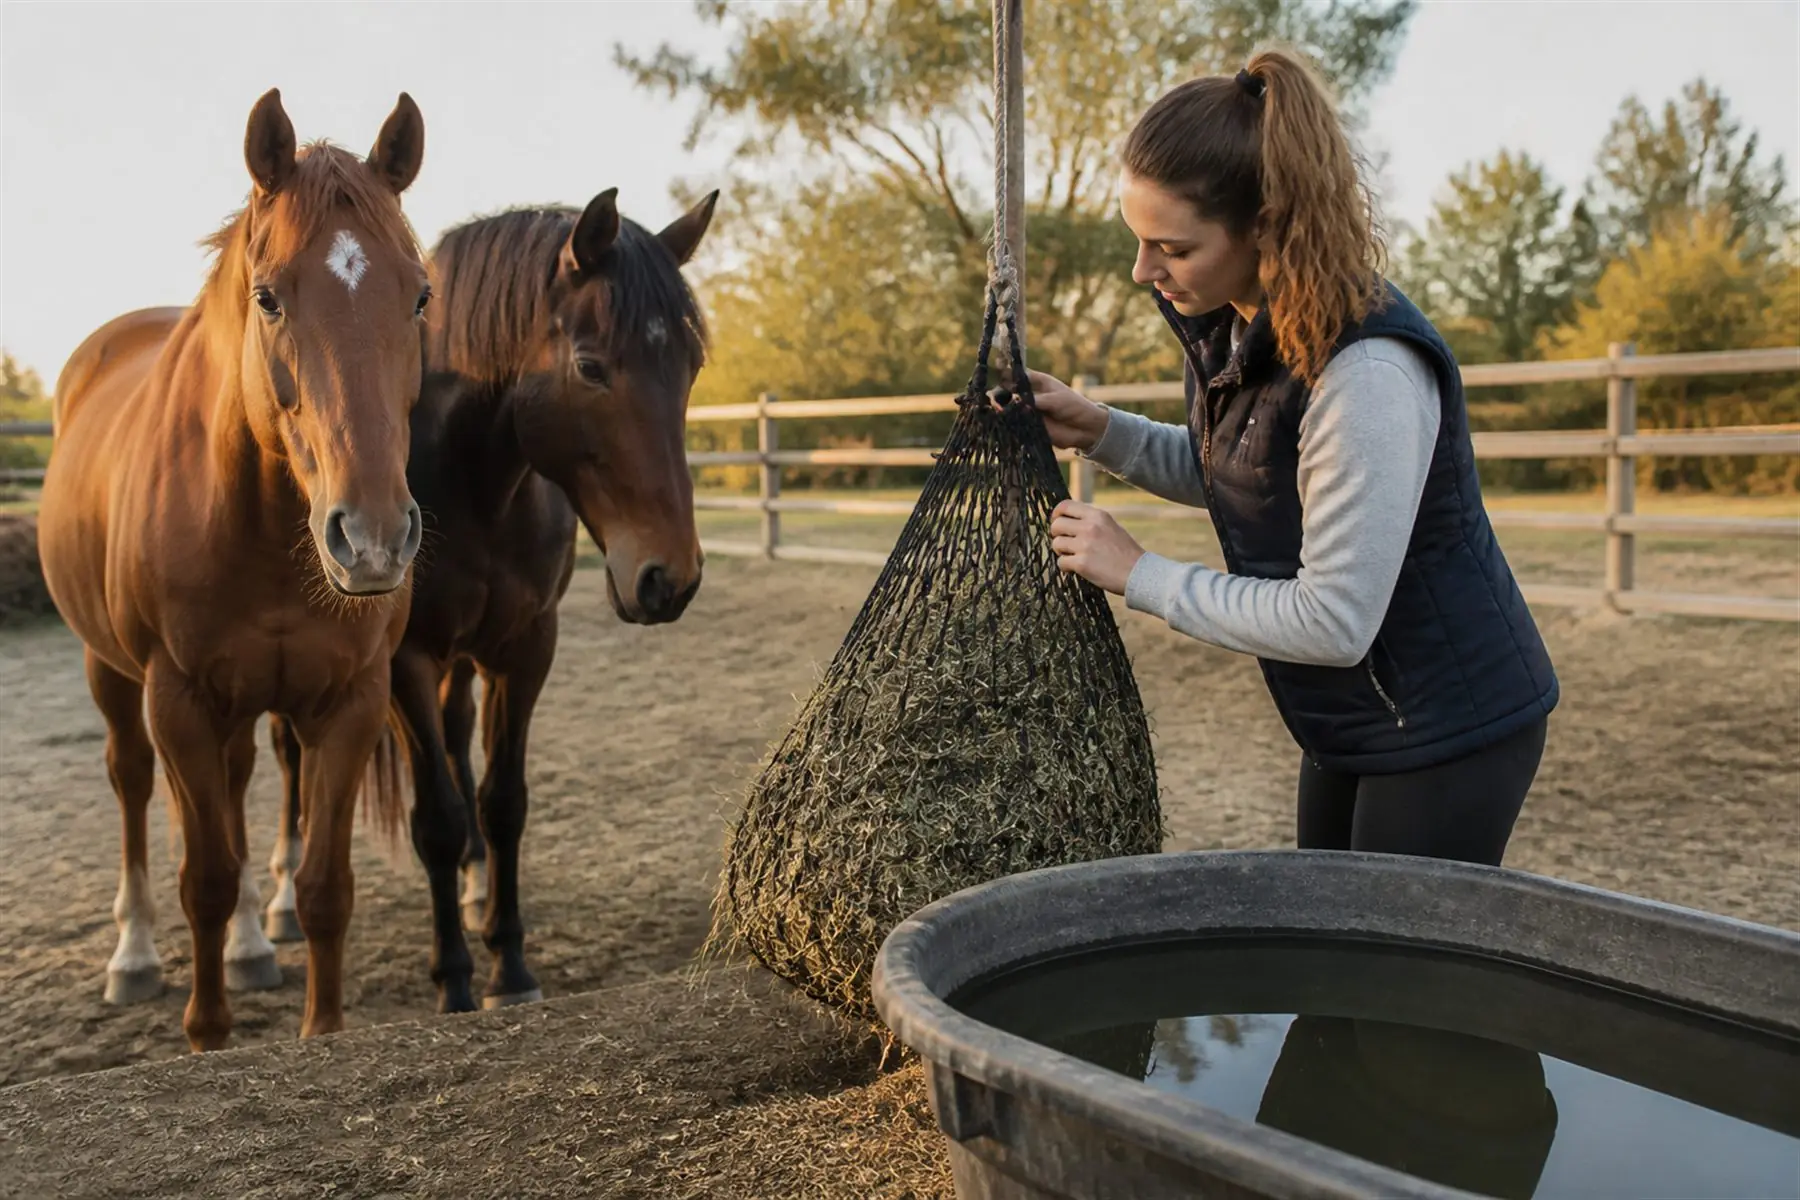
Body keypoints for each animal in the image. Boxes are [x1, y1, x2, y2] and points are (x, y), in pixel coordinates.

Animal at [36, 89, 430, 1051]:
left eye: (419, 295)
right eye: (269, 297)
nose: (372, 538)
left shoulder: (348, 700)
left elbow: (325, 890)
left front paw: (319, 1024)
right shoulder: (175, 698)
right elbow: (203, 881)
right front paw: (206, 1033)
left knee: (241, 779)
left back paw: (255, 943)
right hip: (114, 676)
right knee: (134, 786)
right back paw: (134, 955)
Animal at [264, 187, 716, 1012]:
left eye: (691, 365)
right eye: (590, 366)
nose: (670, 577)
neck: (469, 476)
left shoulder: (525, 646)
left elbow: (503, 801)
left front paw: (509, 962)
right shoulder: (405, 659)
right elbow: (437, 817)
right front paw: (455, 979)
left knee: (456, 731)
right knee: (289, 757)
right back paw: (278, 901)